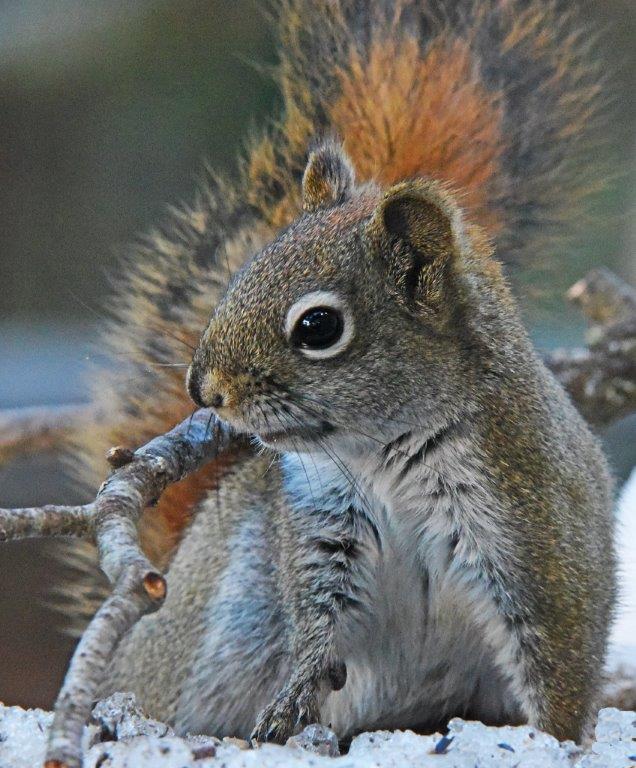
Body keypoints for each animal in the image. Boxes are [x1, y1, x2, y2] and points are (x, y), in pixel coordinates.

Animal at [64, 0, 616, 747]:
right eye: (246, 270)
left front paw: (554, 744)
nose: (202, 390)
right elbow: (316, 622)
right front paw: (292, 698)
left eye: (318, 328)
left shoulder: (538, 542)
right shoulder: (321, 525)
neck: (386, 460)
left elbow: (558, 664)